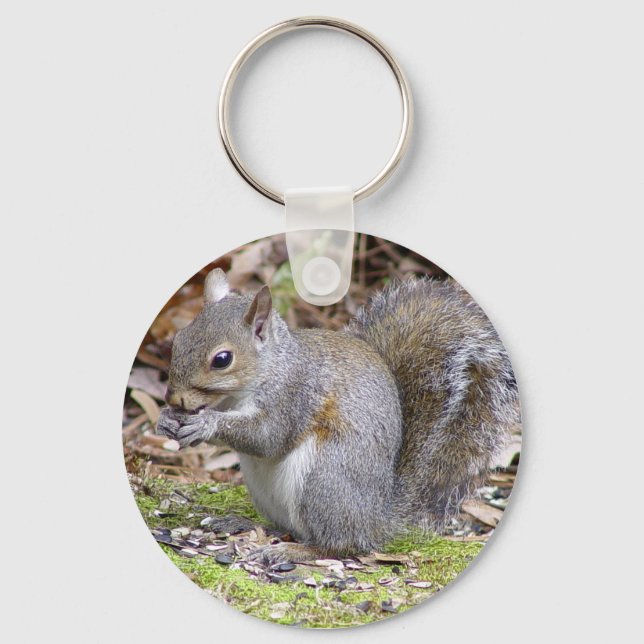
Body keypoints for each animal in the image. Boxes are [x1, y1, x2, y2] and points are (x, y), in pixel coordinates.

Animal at [156, 268, 520, 564]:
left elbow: (268, 437)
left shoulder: (295, 394)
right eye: (180, 338)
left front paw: (206, 424)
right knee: (286, 526)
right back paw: (243, 524)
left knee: (338, 545)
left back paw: (293, 551)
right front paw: (166, 419)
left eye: (222, 359)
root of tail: (377, 519)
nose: (174, 397)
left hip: (324, 479)